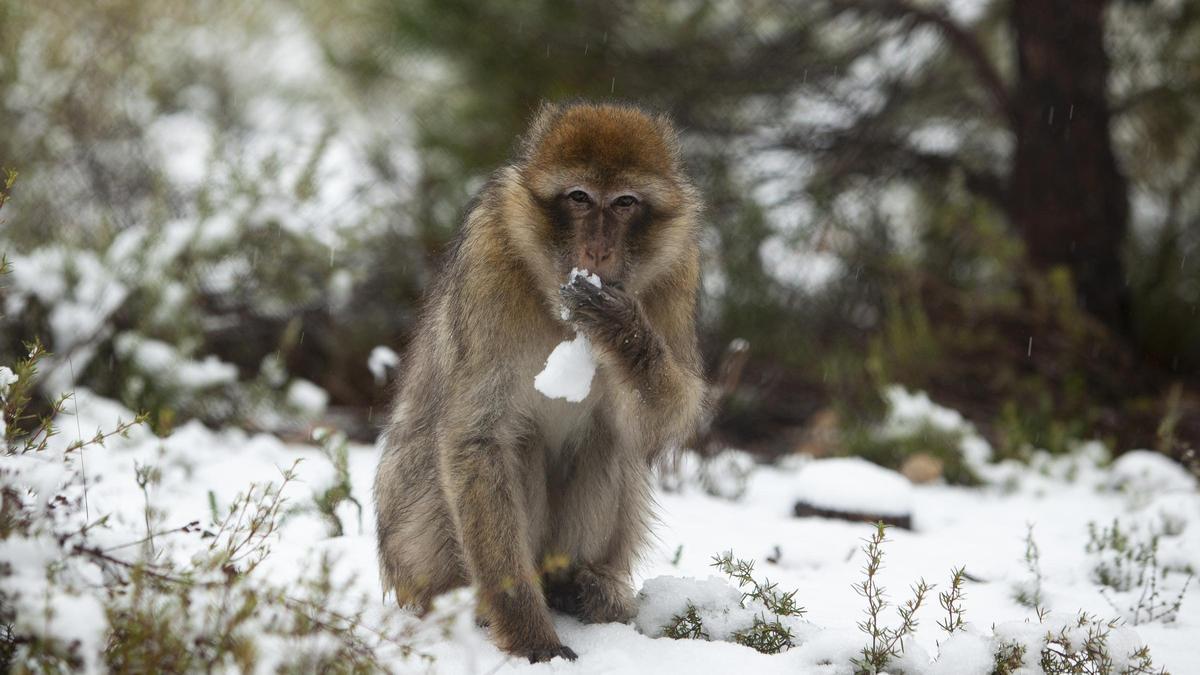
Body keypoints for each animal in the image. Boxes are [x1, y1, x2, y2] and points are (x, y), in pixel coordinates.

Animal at [374, 100, 705, 662]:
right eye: (579, 198)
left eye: (624, 203)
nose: (596, 250)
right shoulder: (488, 262)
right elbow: (477, 438)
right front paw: (531, 635)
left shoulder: (678, 268)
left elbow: (660, 425)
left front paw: (622, 330)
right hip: (416, 548)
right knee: (519, 444)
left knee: (609, 439)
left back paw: (582, 587)